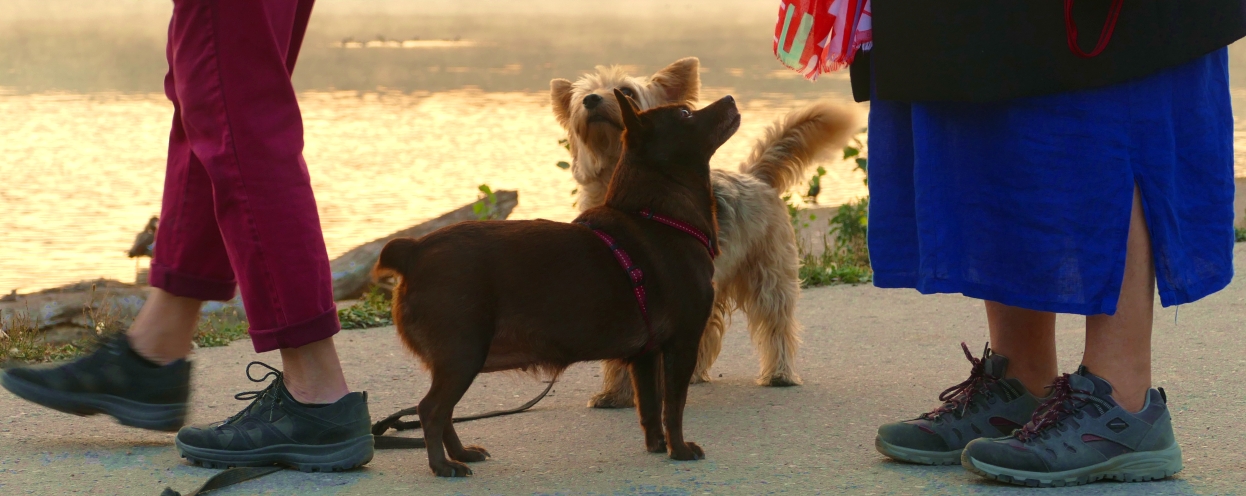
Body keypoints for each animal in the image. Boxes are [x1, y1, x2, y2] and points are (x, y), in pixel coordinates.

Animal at [368, 90, 737, 476]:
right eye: (685, 113)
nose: (729, 97)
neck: (657, 215)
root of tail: (414, 250)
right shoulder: (682, 342)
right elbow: (674, 406)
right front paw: (679, 449)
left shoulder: (646, 355)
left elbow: (650, 406)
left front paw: (657, 446)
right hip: (463, 354)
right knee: (431, 410)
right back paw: (443, 466)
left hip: (457, 360)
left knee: (444, 412)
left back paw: (461, 454)